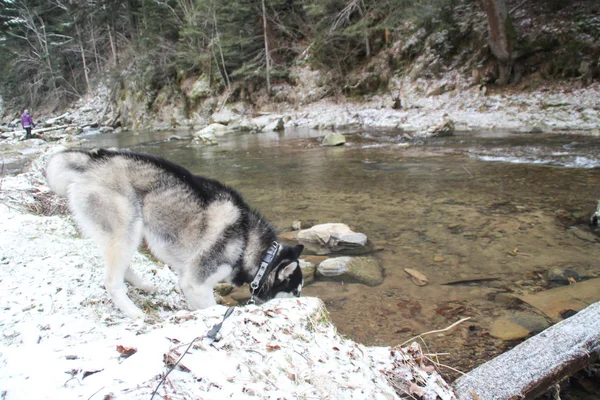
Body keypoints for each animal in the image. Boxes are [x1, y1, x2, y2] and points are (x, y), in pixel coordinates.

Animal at [45, 148, 304, 320]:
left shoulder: (186, 274)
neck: (257, 252)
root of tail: (94, 158)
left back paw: (145, 286)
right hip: (127, 229)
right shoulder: (196, 283)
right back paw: (134, 313)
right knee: (112, 281)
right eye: (295, 291)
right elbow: (209, 307)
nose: (303, 302)